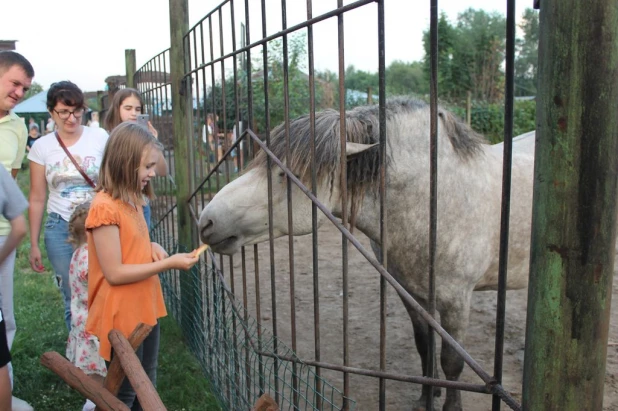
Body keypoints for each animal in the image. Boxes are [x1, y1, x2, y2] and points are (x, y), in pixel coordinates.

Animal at [199, 98, 536, 410]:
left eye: (288, 173)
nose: (206, 221)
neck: (435, 198)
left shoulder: (456, 300)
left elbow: (451, 361)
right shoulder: (411, 293)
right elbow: (424, 347)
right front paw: (426, 397)